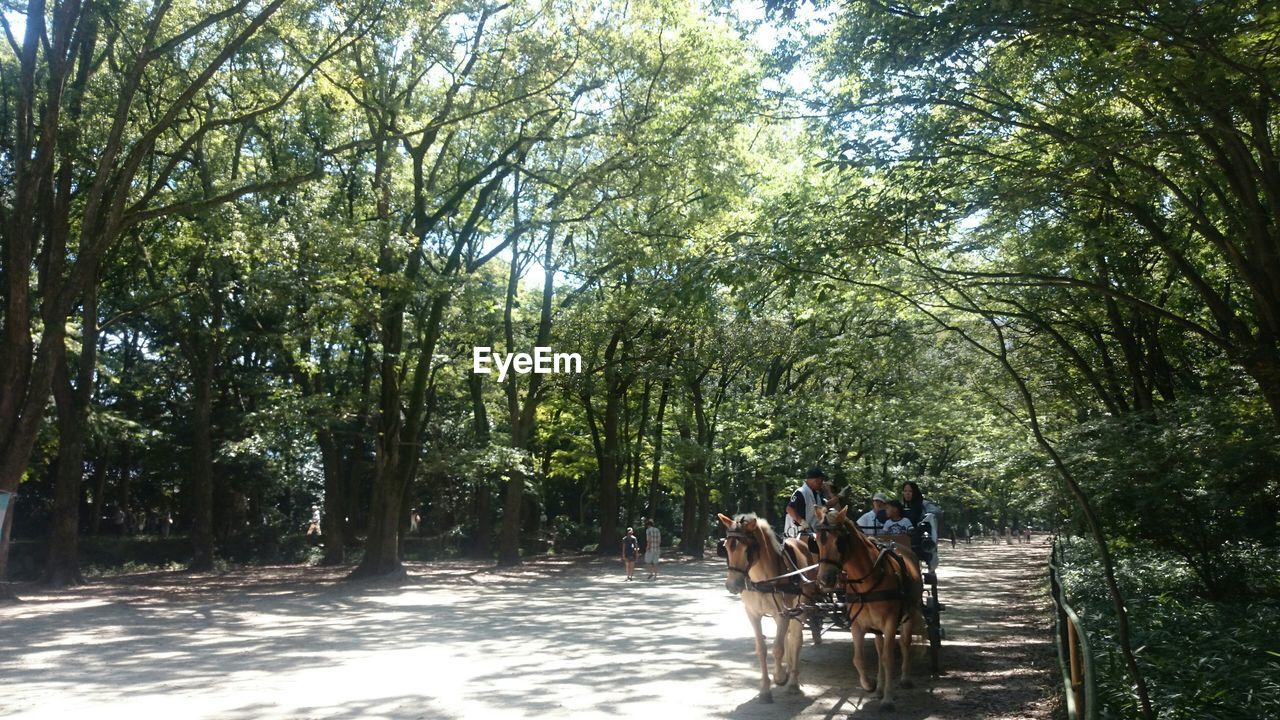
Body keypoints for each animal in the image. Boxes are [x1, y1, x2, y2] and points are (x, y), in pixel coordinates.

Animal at [716, 509, 814, 702]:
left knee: (796, 639)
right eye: (726, 547)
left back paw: (793, 681)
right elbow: (761, 649)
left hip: (801, 607)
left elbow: (777, 648)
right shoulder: (753, 614)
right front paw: (765, 689)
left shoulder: (783, 613)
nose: (732, 585)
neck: (762, 580)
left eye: (748, 549)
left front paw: (780, 677)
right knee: (787, 637)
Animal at [814, 502, 926, 707]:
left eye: (839, 540)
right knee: (880, 649)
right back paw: (880, 687)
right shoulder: (858, 625)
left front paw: (888, 699)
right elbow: (859, 659)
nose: (825, 579)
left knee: (905, 643)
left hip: (909, 612)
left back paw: (905, 678)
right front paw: (870, 685)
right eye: (817, 541)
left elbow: (888, 658)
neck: (866, 582)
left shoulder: (890, 623)